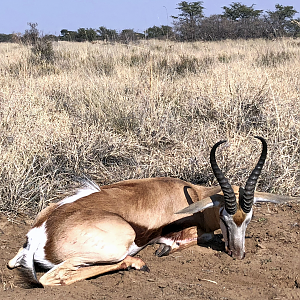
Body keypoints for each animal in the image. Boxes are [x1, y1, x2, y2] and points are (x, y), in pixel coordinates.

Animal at [8, 136, 296, 286]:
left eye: (249, 218)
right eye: (225, 218)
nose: (237, 254)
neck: (191, 193)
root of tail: (40, 233)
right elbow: (202, 236)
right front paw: (166, 247)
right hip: (118, 245)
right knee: (52, 278)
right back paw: (138, 263)